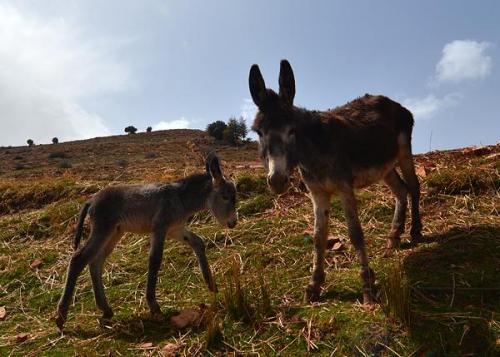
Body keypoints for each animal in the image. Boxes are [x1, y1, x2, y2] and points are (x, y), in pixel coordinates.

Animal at [56, 153, 236, 328]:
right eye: (225, 197)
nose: (233, 223)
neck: (180, 198)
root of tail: (92, 200)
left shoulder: (175, 230)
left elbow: (198, 242)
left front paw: (212, 285)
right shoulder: (160, 229)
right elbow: (155, 260)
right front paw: (154, 306)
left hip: (114, 234)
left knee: (95, 262)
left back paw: (105, 310)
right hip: (102, 230)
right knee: (79, 259)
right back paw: (61, 316)